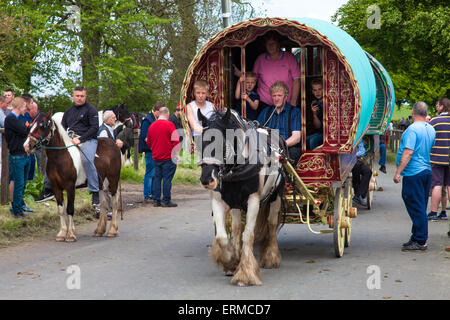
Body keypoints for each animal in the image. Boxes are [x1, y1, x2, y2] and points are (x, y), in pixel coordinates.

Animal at [23, 111, 122, 241]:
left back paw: (112, 230)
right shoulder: (56, 187)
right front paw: (62, 233)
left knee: (114, 203)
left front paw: (70, 234)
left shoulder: (70, 186)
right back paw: (99, 230)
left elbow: (70, 208)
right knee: (104, 204)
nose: (27, 146)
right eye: (30, 126)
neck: (61, 157)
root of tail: (114, 144)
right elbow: (61, 210)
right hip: (101, 183)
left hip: (113, 179)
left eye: (42, 125)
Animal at [198, 108, 288, 288]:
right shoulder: (218, 201)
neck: (238, 168)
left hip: (275, 197)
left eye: (222, 143)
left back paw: (271, 256)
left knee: (271, 223)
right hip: (236, 204)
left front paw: (245, 274)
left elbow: (248, 235)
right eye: (201, 142)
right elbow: (223, 236)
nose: (207, 179)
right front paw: (231, 261)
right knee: (236, 228)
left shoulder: (253, 201)